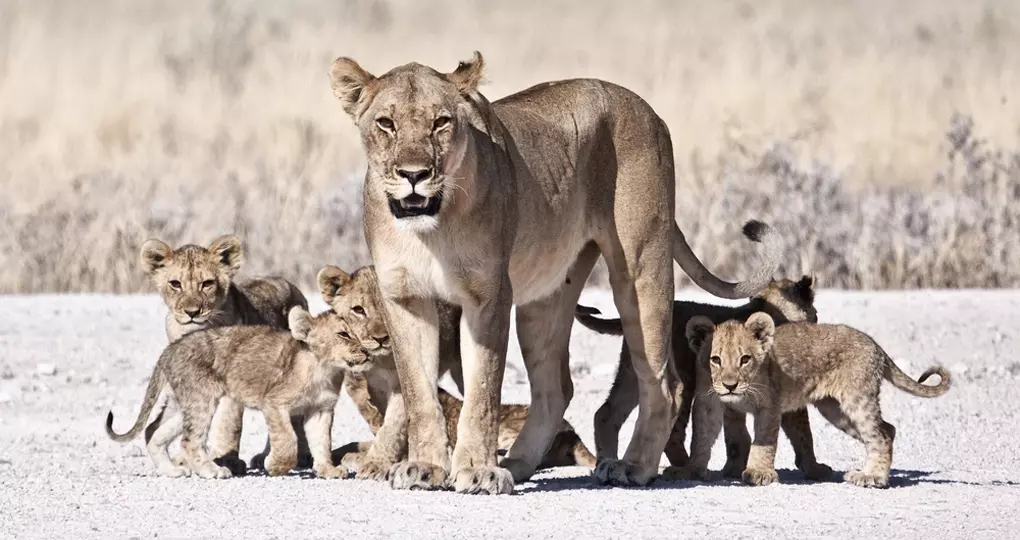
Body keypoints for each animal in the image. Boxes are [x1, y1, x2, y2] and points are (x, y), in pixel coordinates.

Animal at [105, 307, 366, 479]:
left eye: (359, 333)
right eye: (343, 334)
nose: (365, 351)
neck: (325, 368)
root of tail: (169, 350)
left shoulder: (321, 409)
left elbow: (322, 441)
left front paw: (328, 470)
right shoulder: (274, 402)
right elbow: (288, 441)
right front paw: (274, 466)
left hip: (183, 402)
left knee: (153, 431)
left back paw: (171, 470)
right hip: (201, 398)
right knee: (189, 440)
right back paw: (212, 471)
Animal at [139, 235, 309, 475]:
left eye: (207, 283)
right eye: (175, 284)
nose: (192, 312)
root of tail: (290, 284)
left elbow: (229, 423)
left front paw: (226, 459)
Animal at [318, 265, 596, 474]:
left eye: (387, 310)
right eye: (358, 310)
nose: (380, 338)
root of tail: (574, 435)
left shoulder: (403, 384)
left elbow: (392, 427)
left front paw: (374, 463)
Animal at [577, 274, 832, 481]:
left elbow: (736, 435)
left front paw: (734, 468)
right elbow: (803, 433)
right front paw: (815, 469)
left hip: (634, 373)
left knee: (606, 414)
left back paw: (605, 464)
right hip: (683, 380)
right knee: (673, 429)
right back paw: (684, 467)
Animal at [670, 312, 950, 488]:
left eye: (745, 359)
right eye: (715, 359)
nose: (730, 385)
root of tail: (875, 344)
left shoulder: (770, 405)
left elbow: (764, 441)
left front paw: (759, 472)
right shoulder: (708, 402)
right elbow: (701, 438)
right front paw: (691, 469)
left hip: (856, 398)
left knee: (879, 434)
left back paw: (872, 477)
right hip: (835, 410)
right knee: (888, 429)